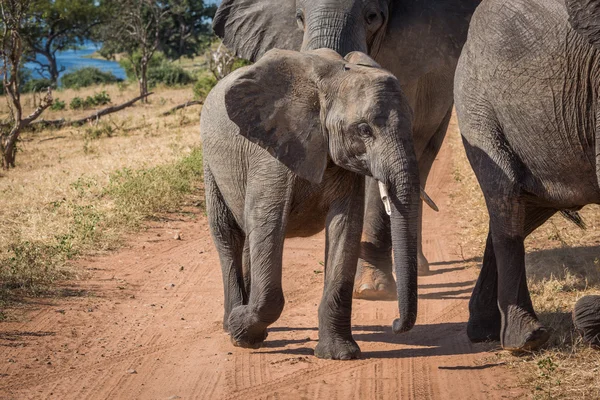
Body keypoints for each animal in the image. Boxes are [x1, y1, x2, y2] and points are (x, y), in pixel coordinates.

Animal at [199, 47, 420, 360]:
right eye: (364, 130)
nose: (394, 323)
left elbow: (345, 228)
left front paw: (339, 354)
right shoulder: (271, 153)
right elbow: (268, 224)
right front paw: (242, 333)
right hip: (210, 164)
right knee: (228, 234)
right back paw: (232, 324)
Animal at [213, 0, 480, 300]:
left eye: (372, 16)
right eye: (299, 17)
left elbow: (379, 181)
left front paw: (371, 289)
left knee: (423, 162)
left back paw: (416, 268)